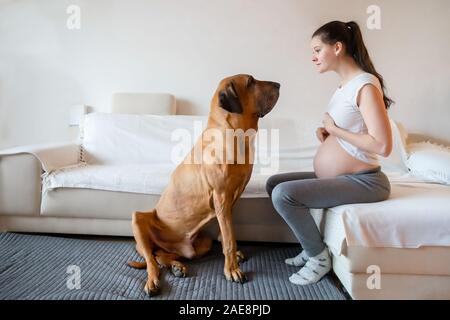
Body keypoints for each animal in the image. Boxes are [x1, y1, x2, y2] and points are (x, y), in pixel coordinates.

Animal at [126, 74, 280, 296]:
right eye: (250, 82)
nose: (278, 85)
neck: (231, 133)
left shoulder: (231, 199)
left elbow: (226, 233)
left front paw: (234, 255)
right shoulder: (221, 196)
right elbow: (229, 238)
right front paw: (232, 270)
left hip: (201, 242)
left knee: (163, 256)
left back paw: (176, 266)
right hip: (138, 219)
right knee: (150, 260)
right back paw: (153, 280)